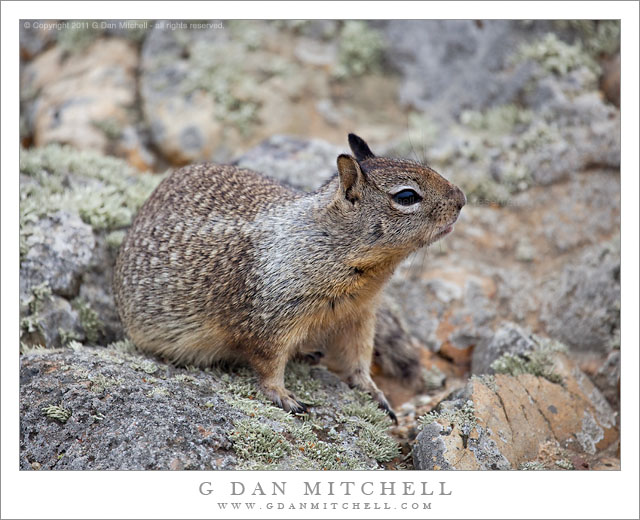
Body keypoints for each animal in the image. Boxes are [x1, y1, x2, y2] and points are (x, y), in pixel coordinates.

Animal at [114, 133, 464, 418]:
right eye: (406, 197)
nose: (461, 200)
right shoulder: (270, 322)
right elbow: (268, 364)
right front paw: (284, 396)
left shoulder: (360, 317)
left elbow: (359, 360)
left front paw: (374, 391)